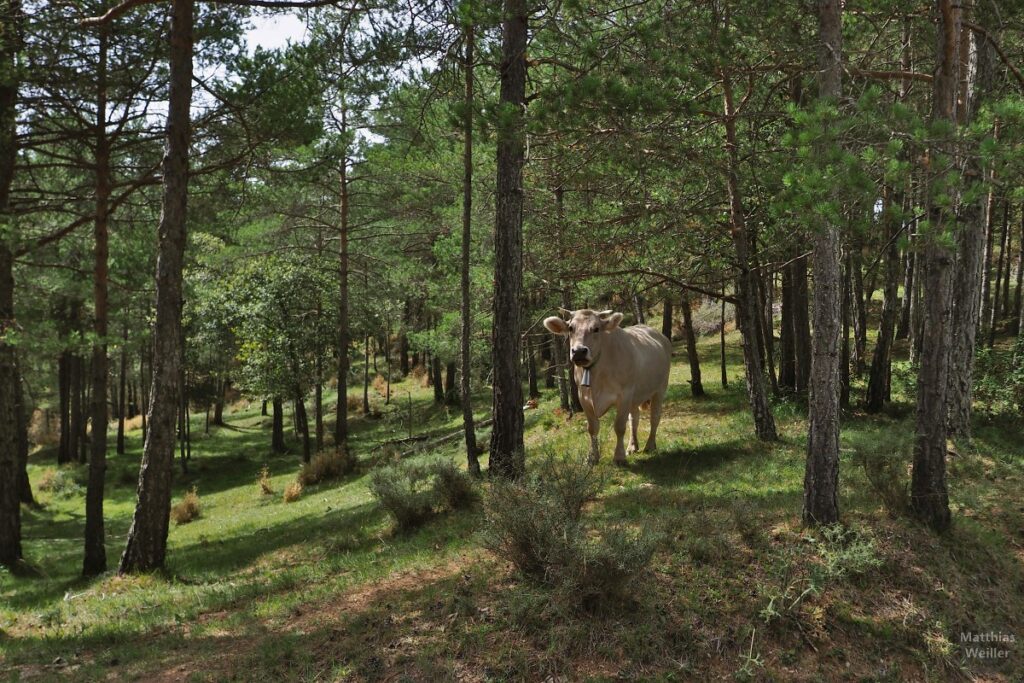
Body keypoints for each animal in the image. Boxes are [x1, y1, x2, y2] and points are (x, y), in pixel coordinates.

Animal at [544, 309, 671, 464]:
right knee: (634, 419)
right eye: (570, 328)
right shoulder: (583, 397)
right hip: (635, 396)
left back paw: (650, 445)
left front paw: (619, 457)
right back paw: (632, 446)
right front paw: (592, 457)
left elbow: (620, 427)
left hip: (660, 389)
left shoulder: (624, 395)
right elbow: (592, 428)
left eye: (596, 328)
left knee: (655, 417)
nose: (579, 351)